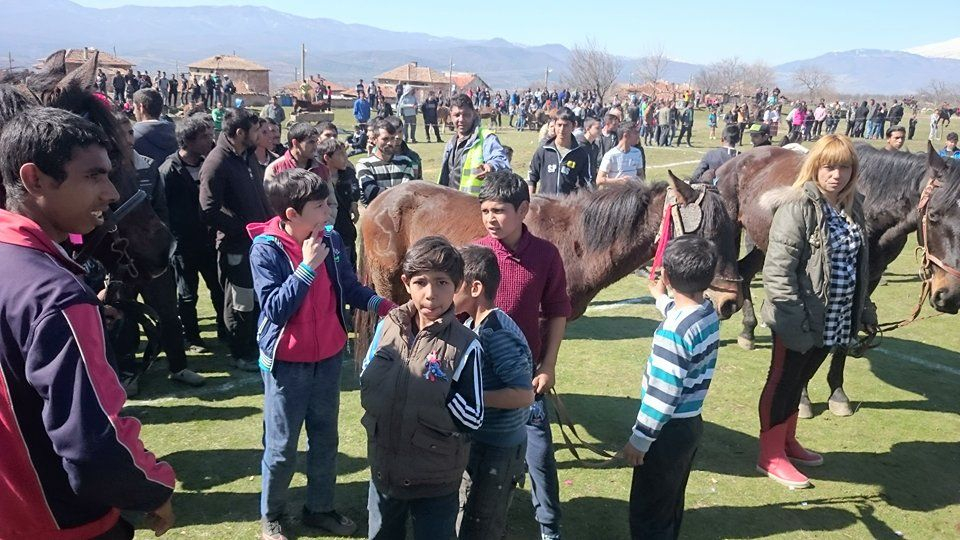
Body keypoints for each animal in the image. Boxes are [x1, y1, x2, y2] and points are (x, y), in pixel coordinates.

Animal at [712, 141, 960, 412]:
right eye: (933, 215)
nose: (949, 296)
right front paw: (803, 399)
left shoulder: (868, 277)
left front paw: (837, 393)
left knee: (745, 273)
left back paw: (748, 331)